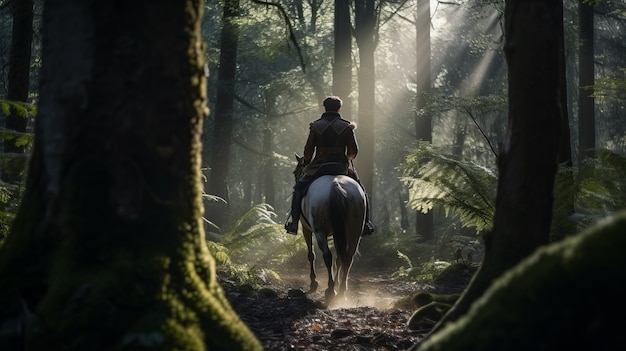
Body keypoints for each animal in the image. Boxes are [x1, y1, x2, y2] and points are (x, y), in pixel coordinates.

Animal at [292, 155, 366, 302]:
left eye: (295, 172)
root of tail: (336, 186)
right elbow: (339, 259)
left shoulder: (306, 229)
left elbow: (311, 255)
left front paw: (314, 282)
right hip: (355, 231)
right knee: (348, 256)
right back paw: (342, 290)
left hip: (319, 231)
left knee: (327, 255)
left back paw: (330, 289)